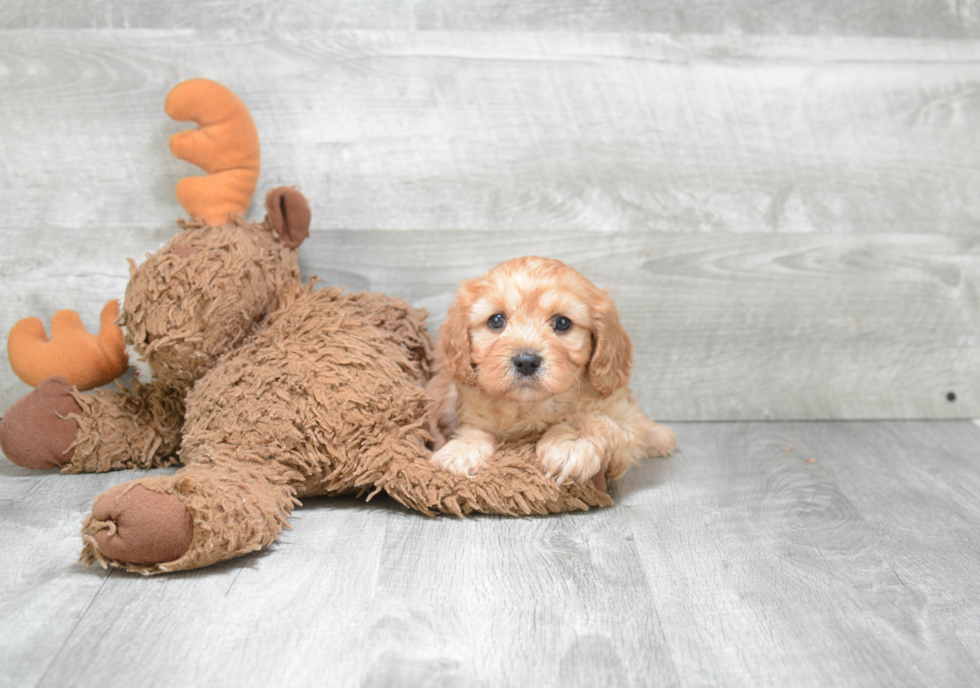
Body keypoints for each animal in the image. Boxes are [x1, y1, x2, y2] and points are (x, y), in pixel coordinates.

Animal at [428, 255, 672, 486]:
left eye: (562, 323)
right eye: (496, 320)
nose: (526, 361)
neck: (532, 405)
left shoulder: (622, 417)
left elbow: (597, 419)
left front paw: (570, 444)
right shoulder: (469, 411)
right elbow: (475, 430)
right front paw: (461, 450)